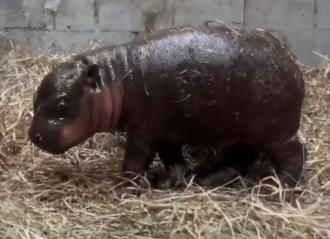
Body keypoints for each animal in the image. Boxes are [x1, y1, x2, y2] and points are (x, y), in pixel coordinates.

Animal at [27, 20, 306, 196]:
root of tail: (295, 67)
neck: (115, 78)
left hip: (273, 131)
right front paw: (169, 182)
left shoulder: (143, 130)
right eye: (36, 98)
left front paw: (125, 191)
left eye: (63, 104)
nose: (33, 135)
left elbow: (135, 160)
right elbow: (172, 157)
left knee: (295, 154)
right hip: (243, 128)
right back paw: (210, 179)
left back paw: (273, 188)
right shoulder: (165, 130)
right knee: (240, 156)